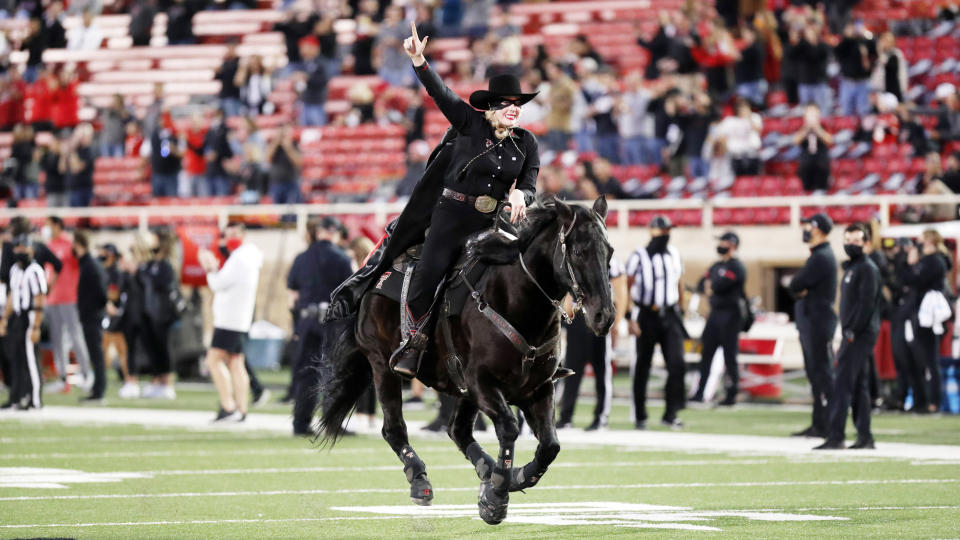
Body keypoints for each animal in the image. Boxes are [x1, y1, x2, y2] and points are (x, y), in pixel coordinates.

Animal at [316, 196, 616, 524]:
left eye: (610, 252)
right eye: (578, 251)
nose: (604, 316)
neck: (514, 300)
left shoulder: (537, 388)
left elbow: (550, 445)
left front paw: (514, 478)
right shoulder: (482, 382)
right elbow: (509, 427)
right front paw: (497, 496)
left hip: (459, 387)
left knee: (457, 430)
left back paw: (487, 469)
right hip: (384, 366)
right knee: (394, 428)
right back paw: (420, 479)